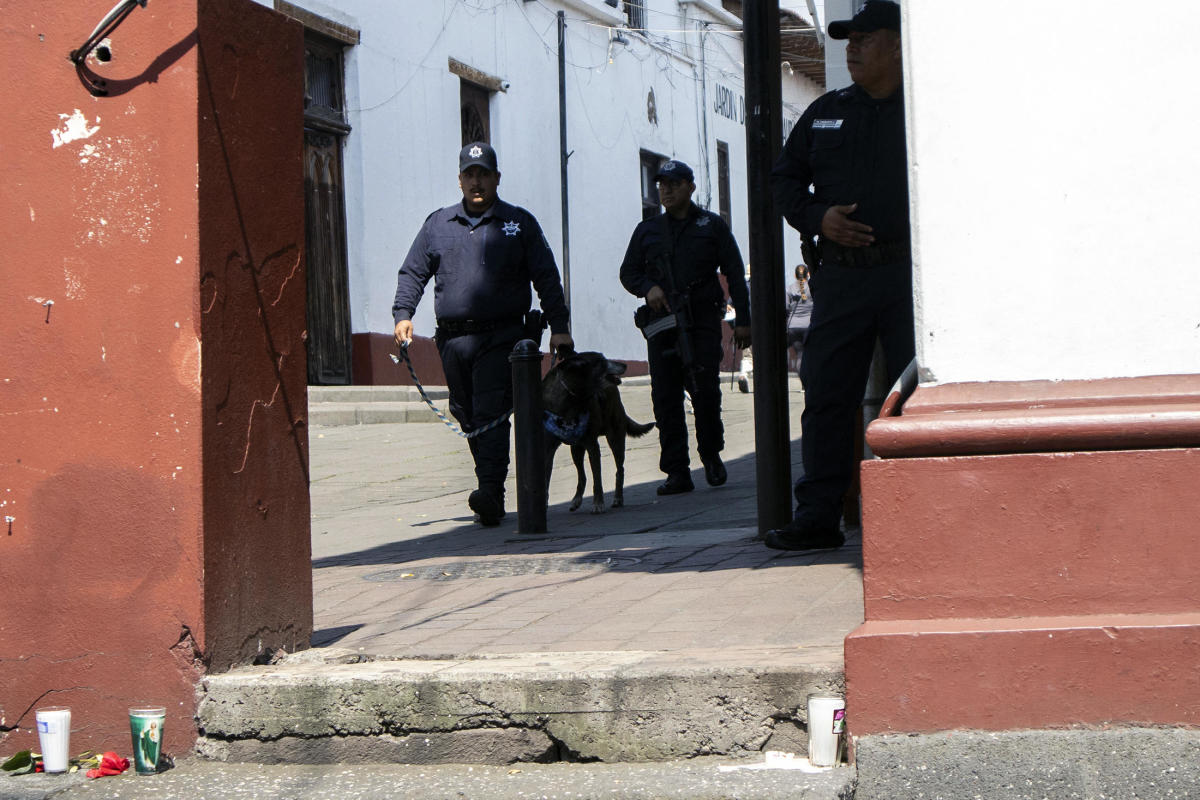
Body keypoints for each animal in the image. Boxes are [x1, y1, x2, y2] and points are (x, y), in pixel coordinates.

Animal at [391, 145, 573, 525]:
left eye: (484, 172)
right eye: (470, 171)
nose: (475, 182)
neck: (475, 214)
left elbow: (545, 273)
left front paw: (490, 497)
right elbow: (414, 269)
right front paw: (402, 324)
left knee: (483, 412)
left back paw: (489, 501)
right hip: (456, 370)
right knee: (465, 412)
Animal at [544, 350, 657, 513]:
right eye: (602, 361)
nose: (624, 364)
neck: (571, 398)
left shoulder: (592, 445)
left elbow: (597, 479)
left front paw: (598, 503)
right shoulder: (547, 448)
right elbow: (545, 479)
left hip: (615, 438)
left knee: (620, 470)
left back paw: (618, 498)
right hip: (576, 448)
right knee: (582, 476)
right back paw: (576, 499)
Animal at [619, 160, 748, 496]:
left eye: (673, 182)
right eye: (662, 183)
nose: (663, 189)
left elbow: (732, 266)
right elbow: (630, 270)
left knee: (706, 395)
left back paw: (711, 465)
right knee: (665, 396)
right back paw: (676, 476)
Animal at [768, 0, 907, 551]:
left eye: (866, 35)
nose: (849, 45)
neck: (879, 100)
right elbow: (787, 175)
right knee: (827, 389)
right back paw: (808, 524)